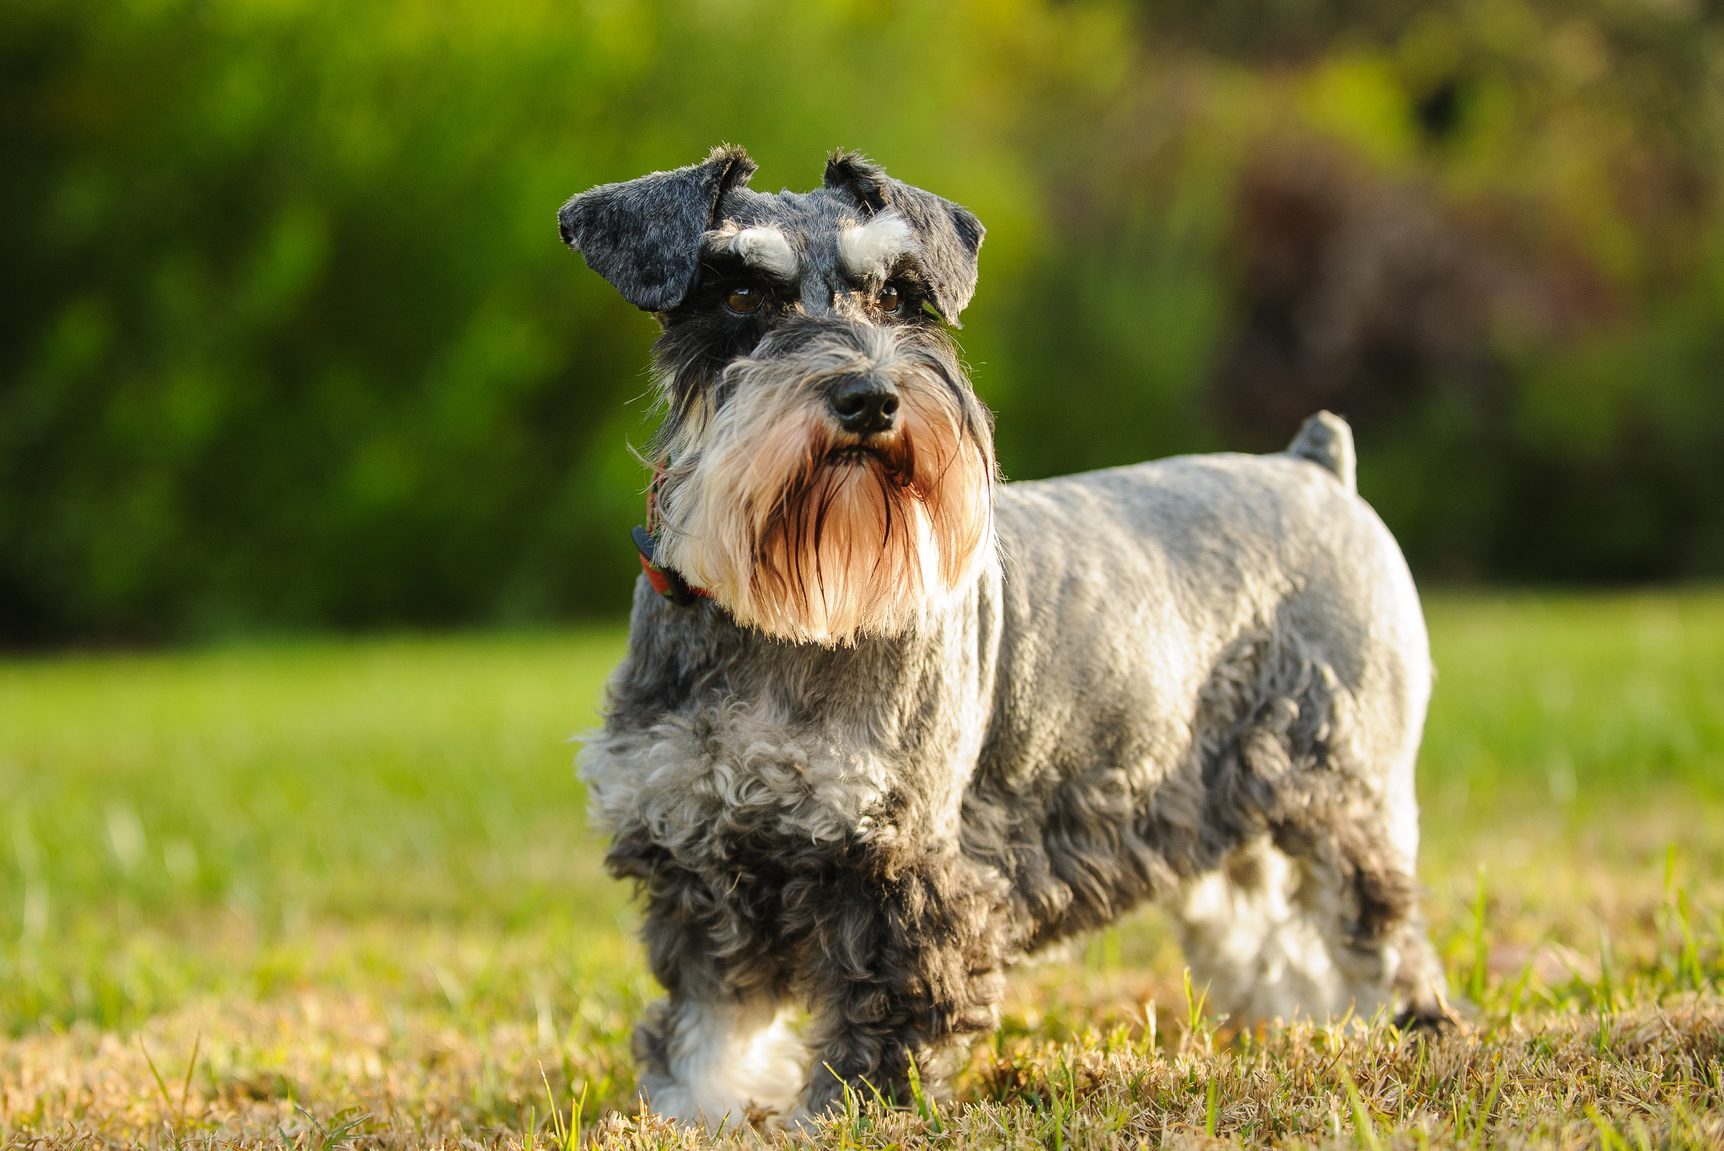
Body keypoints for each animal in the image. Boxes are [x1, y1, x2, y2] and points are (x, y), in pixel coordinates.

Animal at [558, 143, 1448, 1123]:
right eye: (743, 295)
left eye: (900, 295)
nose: (869, 397)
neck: (771, 622)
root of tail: (1317, 467)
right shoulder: (698, 852)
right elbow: (707, 1025)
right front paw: (691, 1113)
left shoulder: (901, 868)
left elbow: (878, 1034)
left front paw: (834, 1120)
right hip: (1223, 819)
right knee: (1274, 941)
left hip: (1345, 793)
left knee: (1379, 931)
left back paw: (1402, 1035)